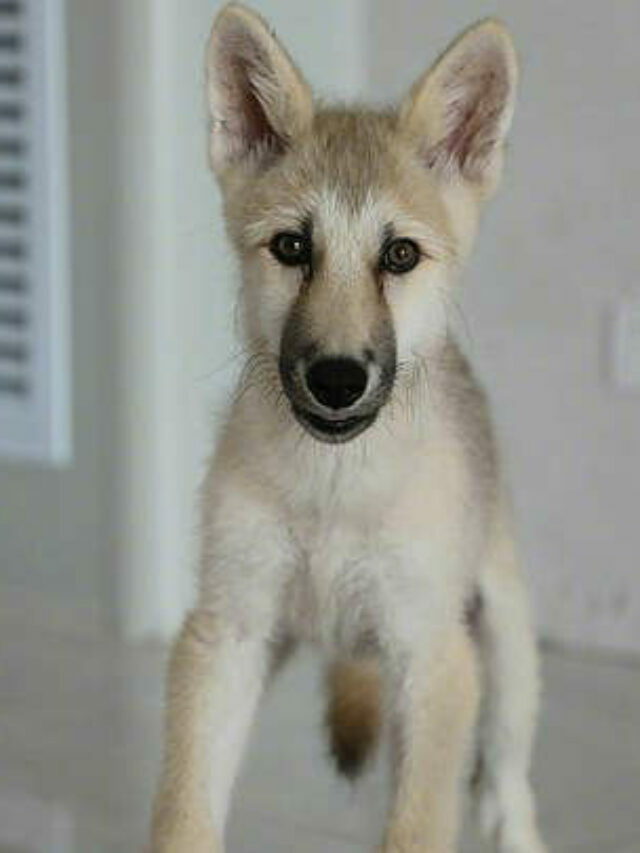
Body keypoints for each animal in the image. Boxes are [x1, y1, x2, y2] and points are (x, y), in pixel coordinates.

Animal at [149, 6, 544, 852]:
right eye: (292, 247)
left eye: (400, 254)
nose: (336, 380)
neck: (333, 488)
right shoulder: (227, 635)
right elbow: (184, 813)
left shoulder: (433, 658)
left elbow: (420, 827)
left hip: (503, 653)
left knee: (505, 787)